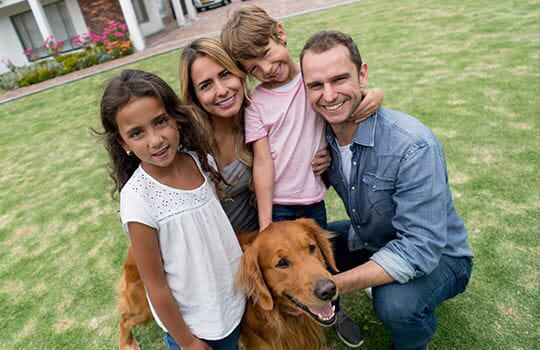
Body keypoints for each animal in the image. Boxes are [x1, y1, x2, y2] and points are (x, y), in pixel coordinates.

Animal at [118, 219, 338, 350]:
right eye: (281, 263)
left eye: (312, 248)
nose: (328, 290)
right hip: (148, 308)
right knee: (124, 318)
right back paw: (127, 343)